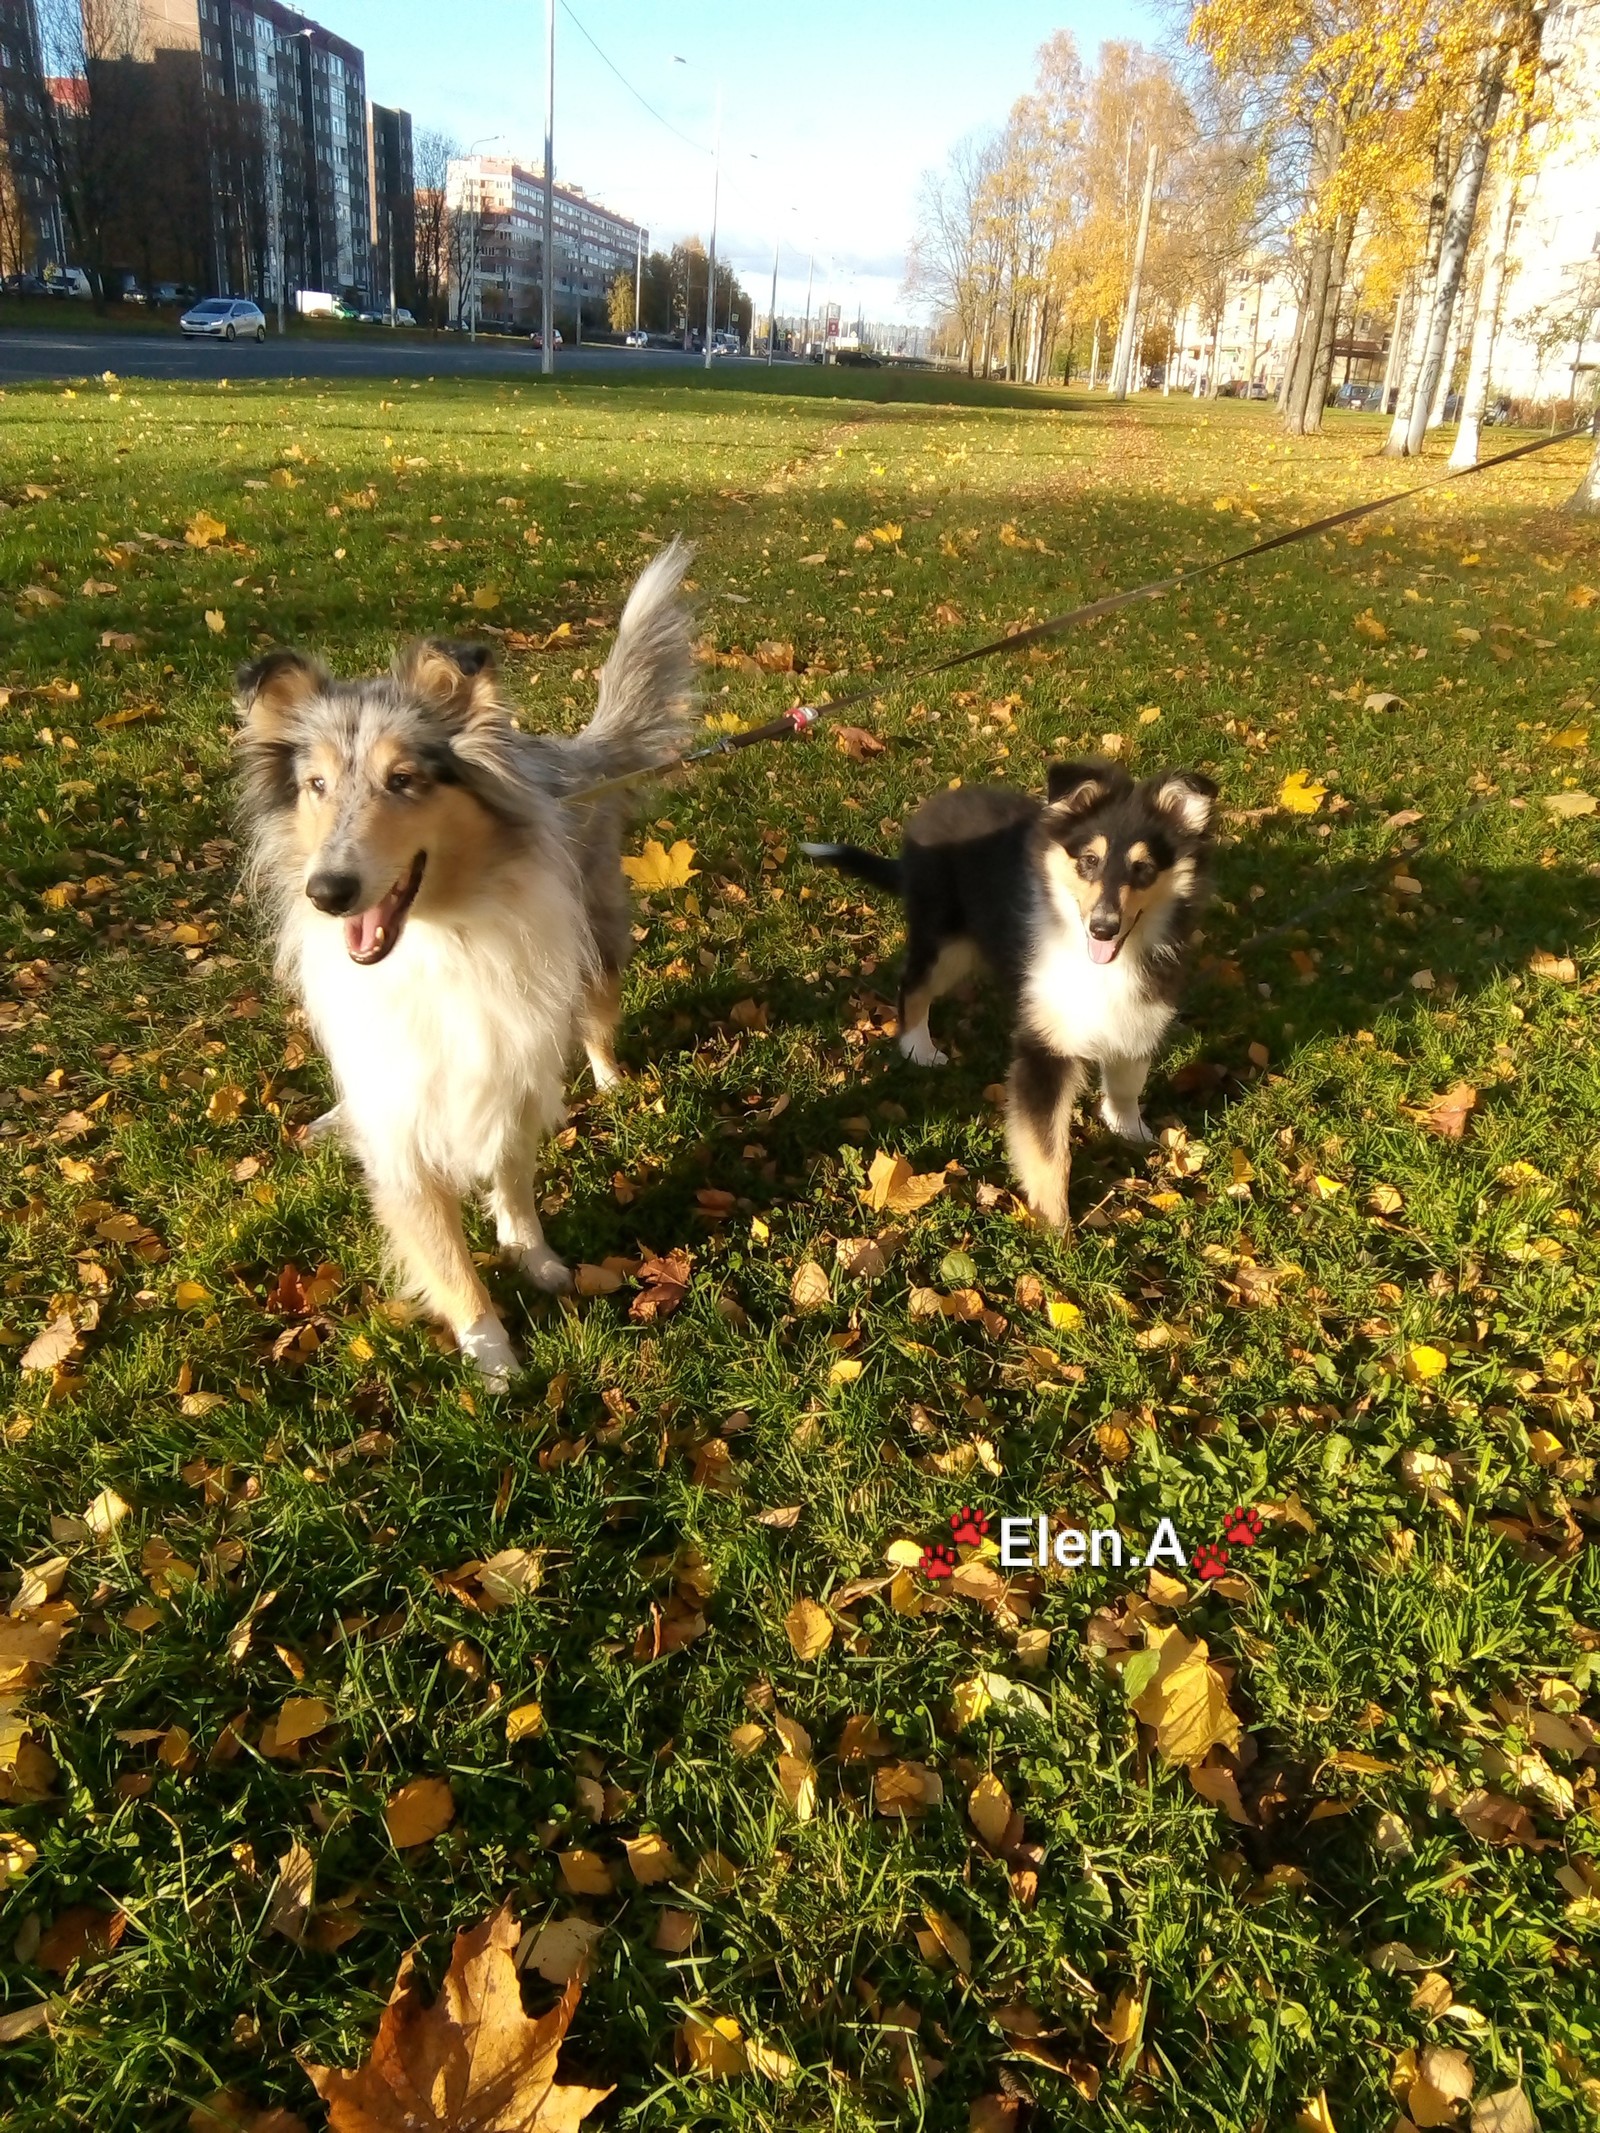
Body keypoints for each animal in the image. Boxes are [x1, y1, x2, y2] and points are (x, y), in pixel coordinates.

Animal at [806, 763, 1220, 1237]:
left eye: (1144, 869)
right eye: (1089, 861)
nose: (1103, 928)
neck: (1100, 961)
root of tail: (940, 803)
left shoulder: (1140, 1011)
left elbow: (1127, 1080)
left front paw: (1130, 1131)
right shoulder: (1045, 1048)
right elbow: (1047, 1150)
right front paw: (1056, 1231)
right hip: (946, 939)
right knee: (913, 985)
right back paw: (918, 1048)